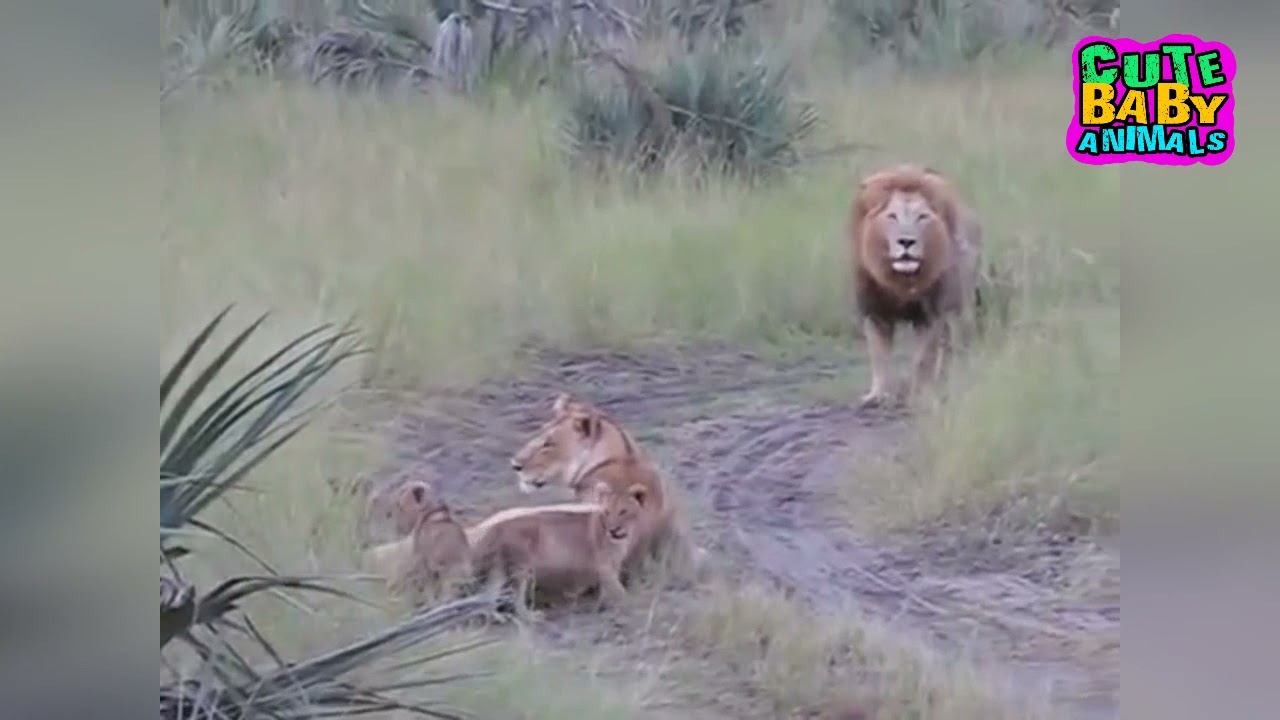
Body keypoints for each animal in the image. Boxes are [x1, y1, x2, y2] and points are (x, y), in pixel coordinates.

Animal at [849, 163, 984, 407]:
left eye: (922, 217)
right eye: (892, 216)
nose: (906, 241)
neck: (900, 280)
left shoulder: (930, 314)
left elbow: (922, 360)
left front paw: (920, 393)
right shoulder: (875, 313)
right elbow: (878, 356)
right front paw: (877, 395)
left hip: (958, 305)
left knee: (953, 343)